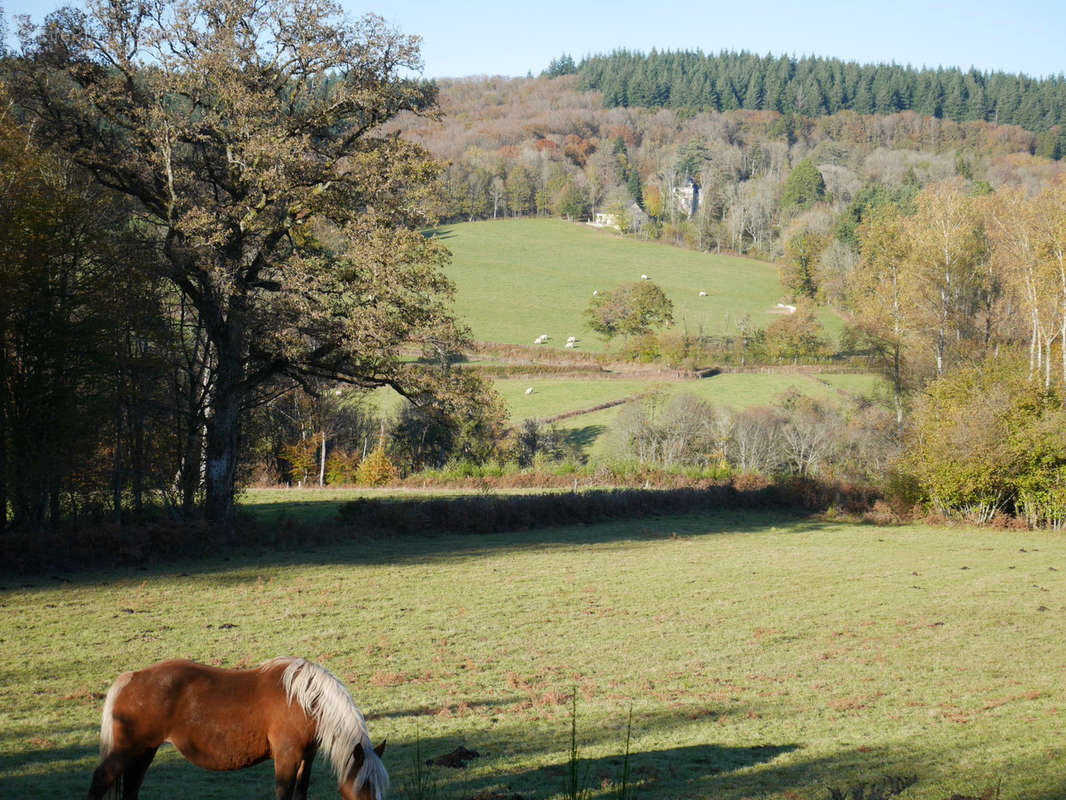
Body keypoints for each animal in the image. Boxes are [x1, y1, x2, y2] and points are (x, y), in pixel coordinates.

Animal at [86, 657, 388, 800]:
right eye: (364, 786)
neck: (305, 700)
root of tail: (131, 678)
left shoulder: (307, 757)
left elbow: (301, 792)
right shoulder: (287, 757)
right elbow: (284, 792)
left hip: (144, 752)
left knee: (131, 788)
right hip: (128, 751)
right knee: (101, 779)